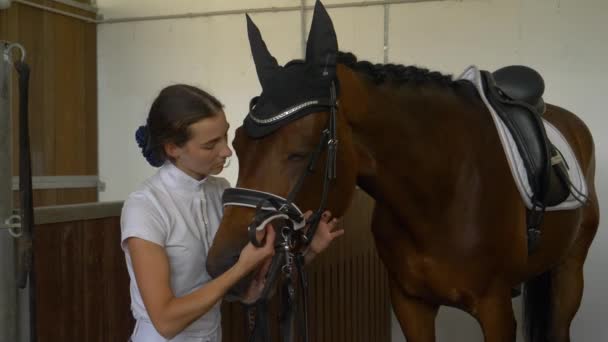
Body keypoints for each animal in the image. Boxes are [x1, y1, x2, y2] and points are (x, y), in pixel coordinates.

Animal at [205, 3, 600, 342]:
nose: (225, 267)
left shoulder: (496, 310)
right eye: (236, 143)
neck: (441, 195)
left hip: (570, 272)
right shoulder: (411, 304)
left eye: (301, 152)